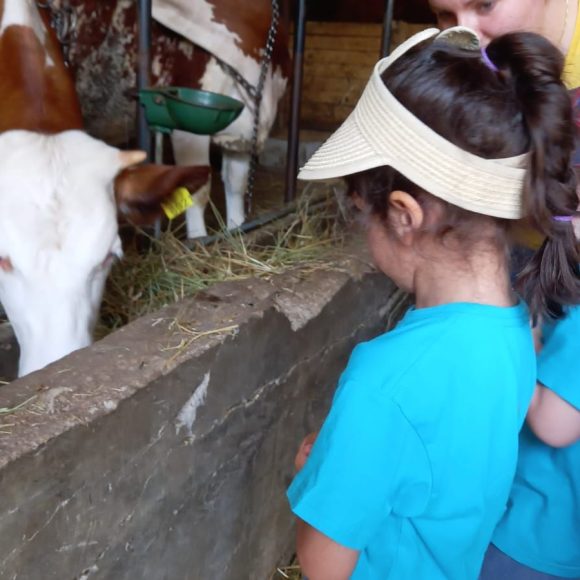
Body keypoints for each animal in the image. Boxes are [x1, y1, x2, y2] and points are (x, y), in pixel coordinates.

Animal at [52, 0, 292, 238]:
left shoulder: (241, 132)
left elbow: (236, 184)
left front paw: (237, 230)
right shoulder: (188, 122)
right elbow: (196, 191)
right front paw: (198, 240)